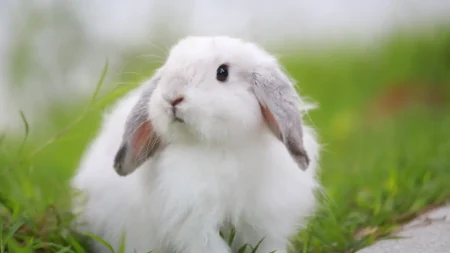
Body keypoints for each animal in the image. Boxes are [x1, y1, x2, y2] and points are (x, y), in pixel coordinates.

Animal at [71, 36, 320, 253]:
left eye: (222, 72)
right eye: (166, 69)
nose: (172, 97)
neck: (220, 147)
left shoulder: (264, 221)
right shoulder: (194, 223)